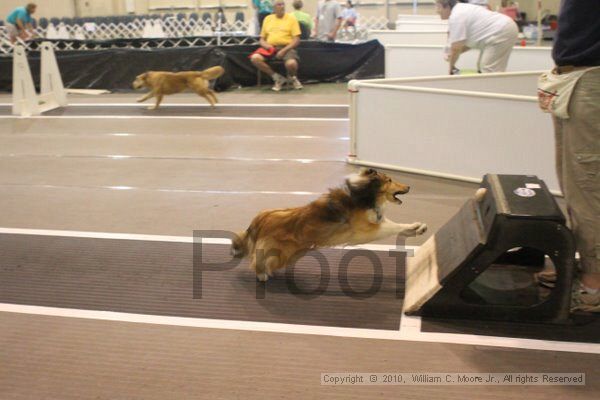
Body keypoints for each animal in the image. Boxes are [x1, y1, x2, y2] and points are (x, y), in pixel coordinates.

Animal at [232, 169, 428, 282]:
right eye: (389, 180)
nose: (409, 187)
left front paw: (417, 227)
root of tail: (259, 219)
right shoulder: (365, 231)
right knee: (257, 260)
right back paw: (262, 275)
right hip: (281, 252)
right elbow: (392, 227)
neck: (363, 196)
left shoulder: (376, 221)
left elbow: (399, 225)